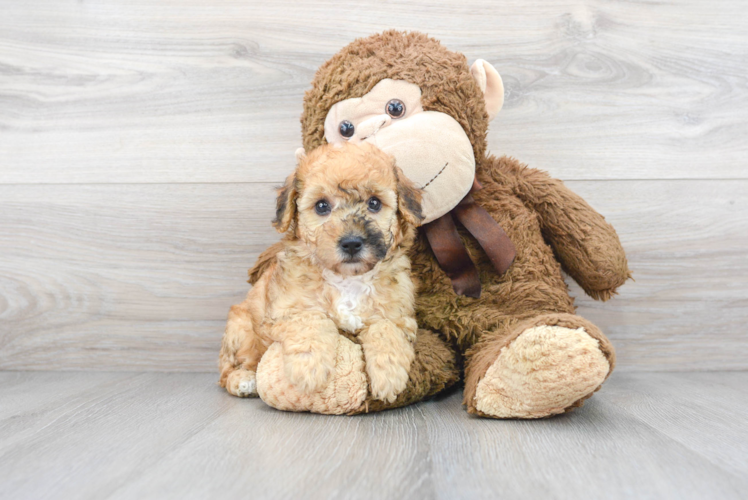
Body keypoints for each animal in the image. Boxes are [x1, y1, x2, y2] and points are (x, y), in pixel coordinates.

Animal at [219, 141, 424, 402]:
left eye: (374, 203)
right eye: (322, 206)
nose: (351, 243)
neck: (348, 280)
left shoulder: (399, 317)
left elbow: (385, 329)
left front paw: (389, 375)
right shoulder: (283, 313)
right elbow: (311, 319)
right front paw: (309, 370)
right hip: (241, 327)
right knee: (227, 369)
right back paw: (243, 381)